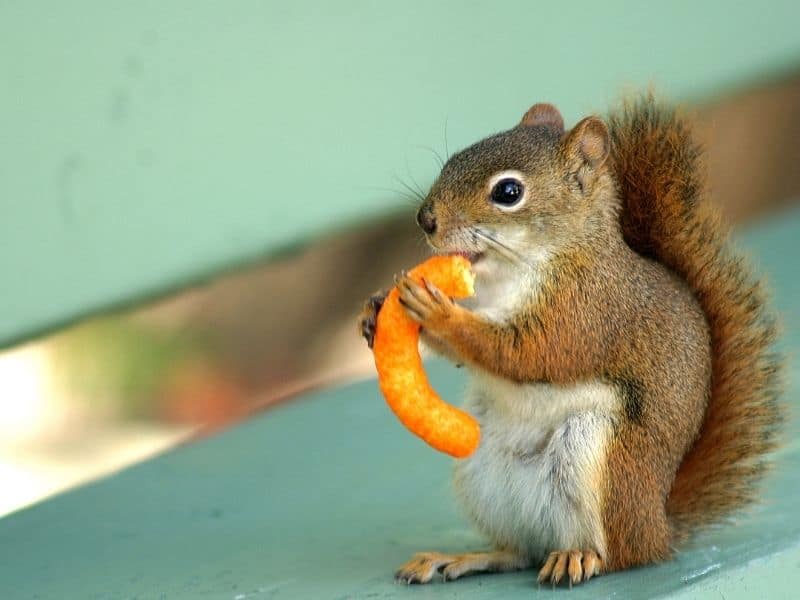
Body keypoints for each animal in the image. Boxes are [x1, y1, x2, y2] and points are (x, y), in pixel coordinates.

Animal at [358, 94, 780, 584]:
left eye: (508, 193)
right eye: (453, 160)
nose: (426, 219)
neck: (510, 276)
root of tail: (658, 525)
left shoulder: (584, 313)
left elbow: (527, 354)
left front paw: (439, 312)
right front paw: (376, 311)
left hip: (597, 461)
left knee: (619, 553)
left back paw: (579, 556)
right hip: (483, 473)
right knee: (519, 550)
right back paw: (458, 558)